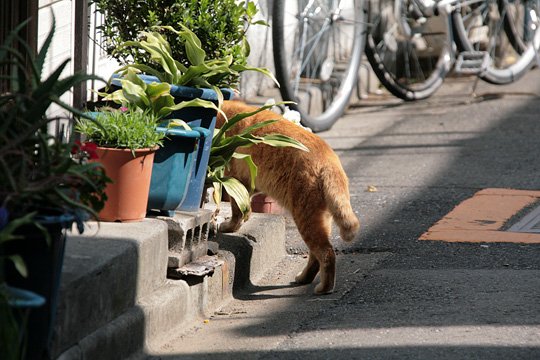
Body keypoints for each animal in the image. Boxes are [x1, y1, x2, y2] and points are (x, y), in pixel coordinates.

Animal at [214, 100, 358, 294]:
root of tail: (331, 160)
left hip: (305, 216)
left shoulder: (235, 178)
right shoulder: (248, 182)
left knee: (326, 253)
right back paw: (304, 278)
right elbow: (245, 207)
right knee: (315, 255)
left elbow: (237, 209)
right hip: (320, 218)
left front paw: (230, 226)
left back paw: (324, 288)